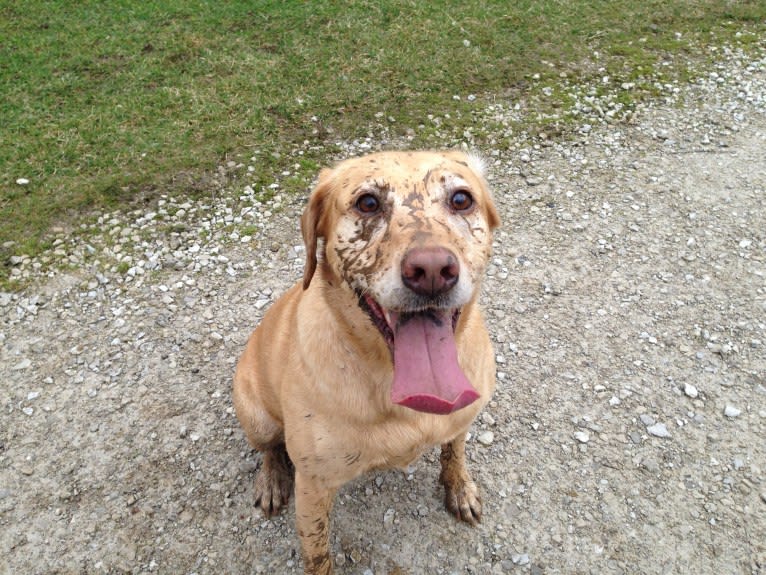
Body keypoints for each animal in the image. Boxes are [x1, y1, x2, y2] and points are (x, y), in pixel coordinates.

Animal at [234, 151, 504, 572]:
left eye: (461, 199)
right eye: (368, 203)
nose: (431, 270)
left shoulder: (462, 419)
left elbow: (454, 451)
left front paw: (459, 486)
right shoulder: (313, 485)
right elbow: (317, 554)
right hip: (257, 416)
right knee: (268, 449)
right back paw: (272, 479)